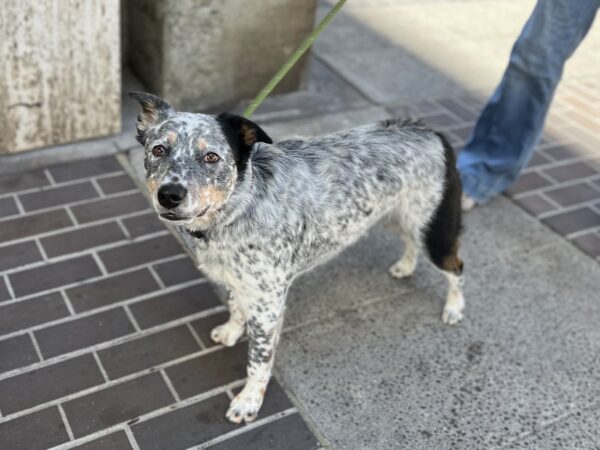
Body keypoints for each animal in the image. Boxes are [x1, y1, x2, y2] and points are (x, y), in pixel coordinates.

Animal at [129, 92, 464, 426]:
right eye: (158, 150)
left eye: (211, 157)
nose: (169, 195)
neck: (239, 208)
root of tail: (431, 132)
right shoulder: (241, 281)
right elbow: (236, 307)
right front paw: (231, 331)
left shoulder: (267, 305)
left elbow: (258, 361)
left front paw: (249, 401)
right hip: (398, 217)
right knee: (410, 241)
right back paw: (406, 266)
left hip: (434, 231)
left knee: (456, 267)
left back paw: (454, 308)